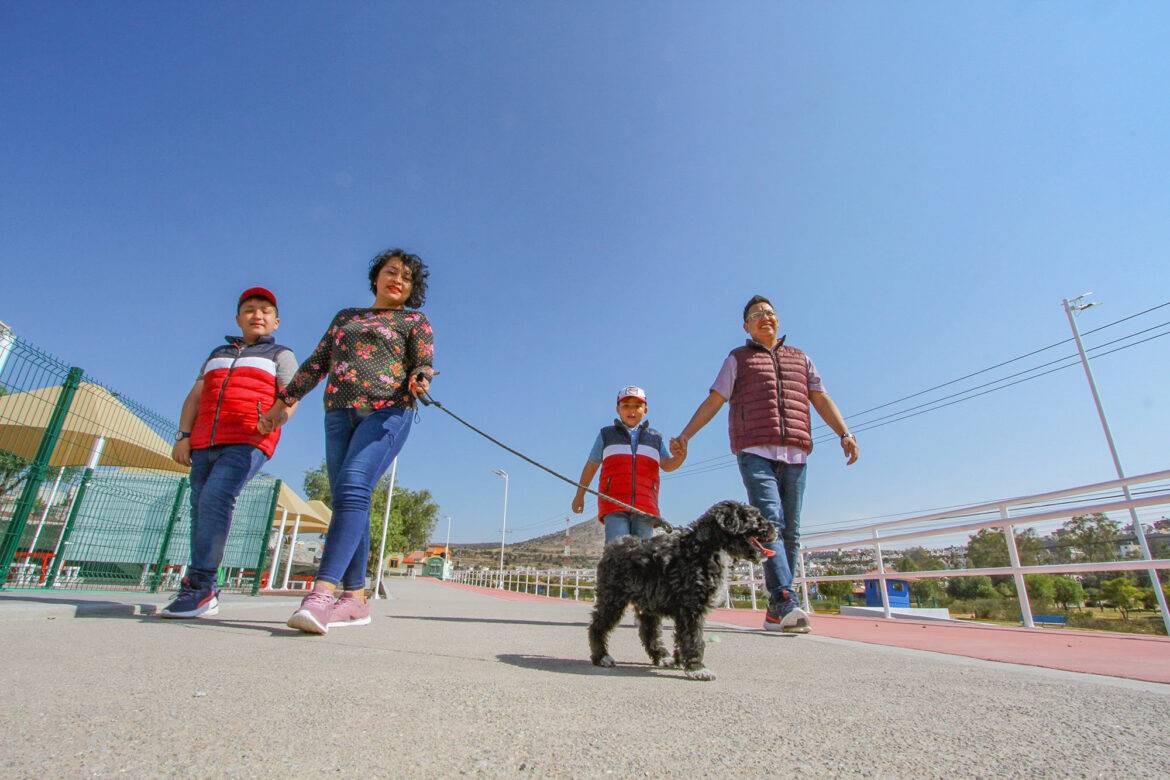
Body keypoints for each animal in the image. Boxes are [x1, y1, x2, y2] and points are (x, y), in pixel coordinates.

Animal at [589, 502, 772, 678]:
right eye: (756, 518)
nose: (774, 529)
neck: (705, 547)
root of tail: (613, 547)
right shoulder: (691, 606)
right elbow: (693, 637)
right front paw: (697, 668)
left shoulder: (684, 609)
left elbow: (681, 636)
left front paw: (682, 661)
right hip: (613, 598)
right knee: (598, 626)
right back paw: (601, 657)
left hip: (647, 602)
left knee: (649, 631)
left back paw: (662, 656)